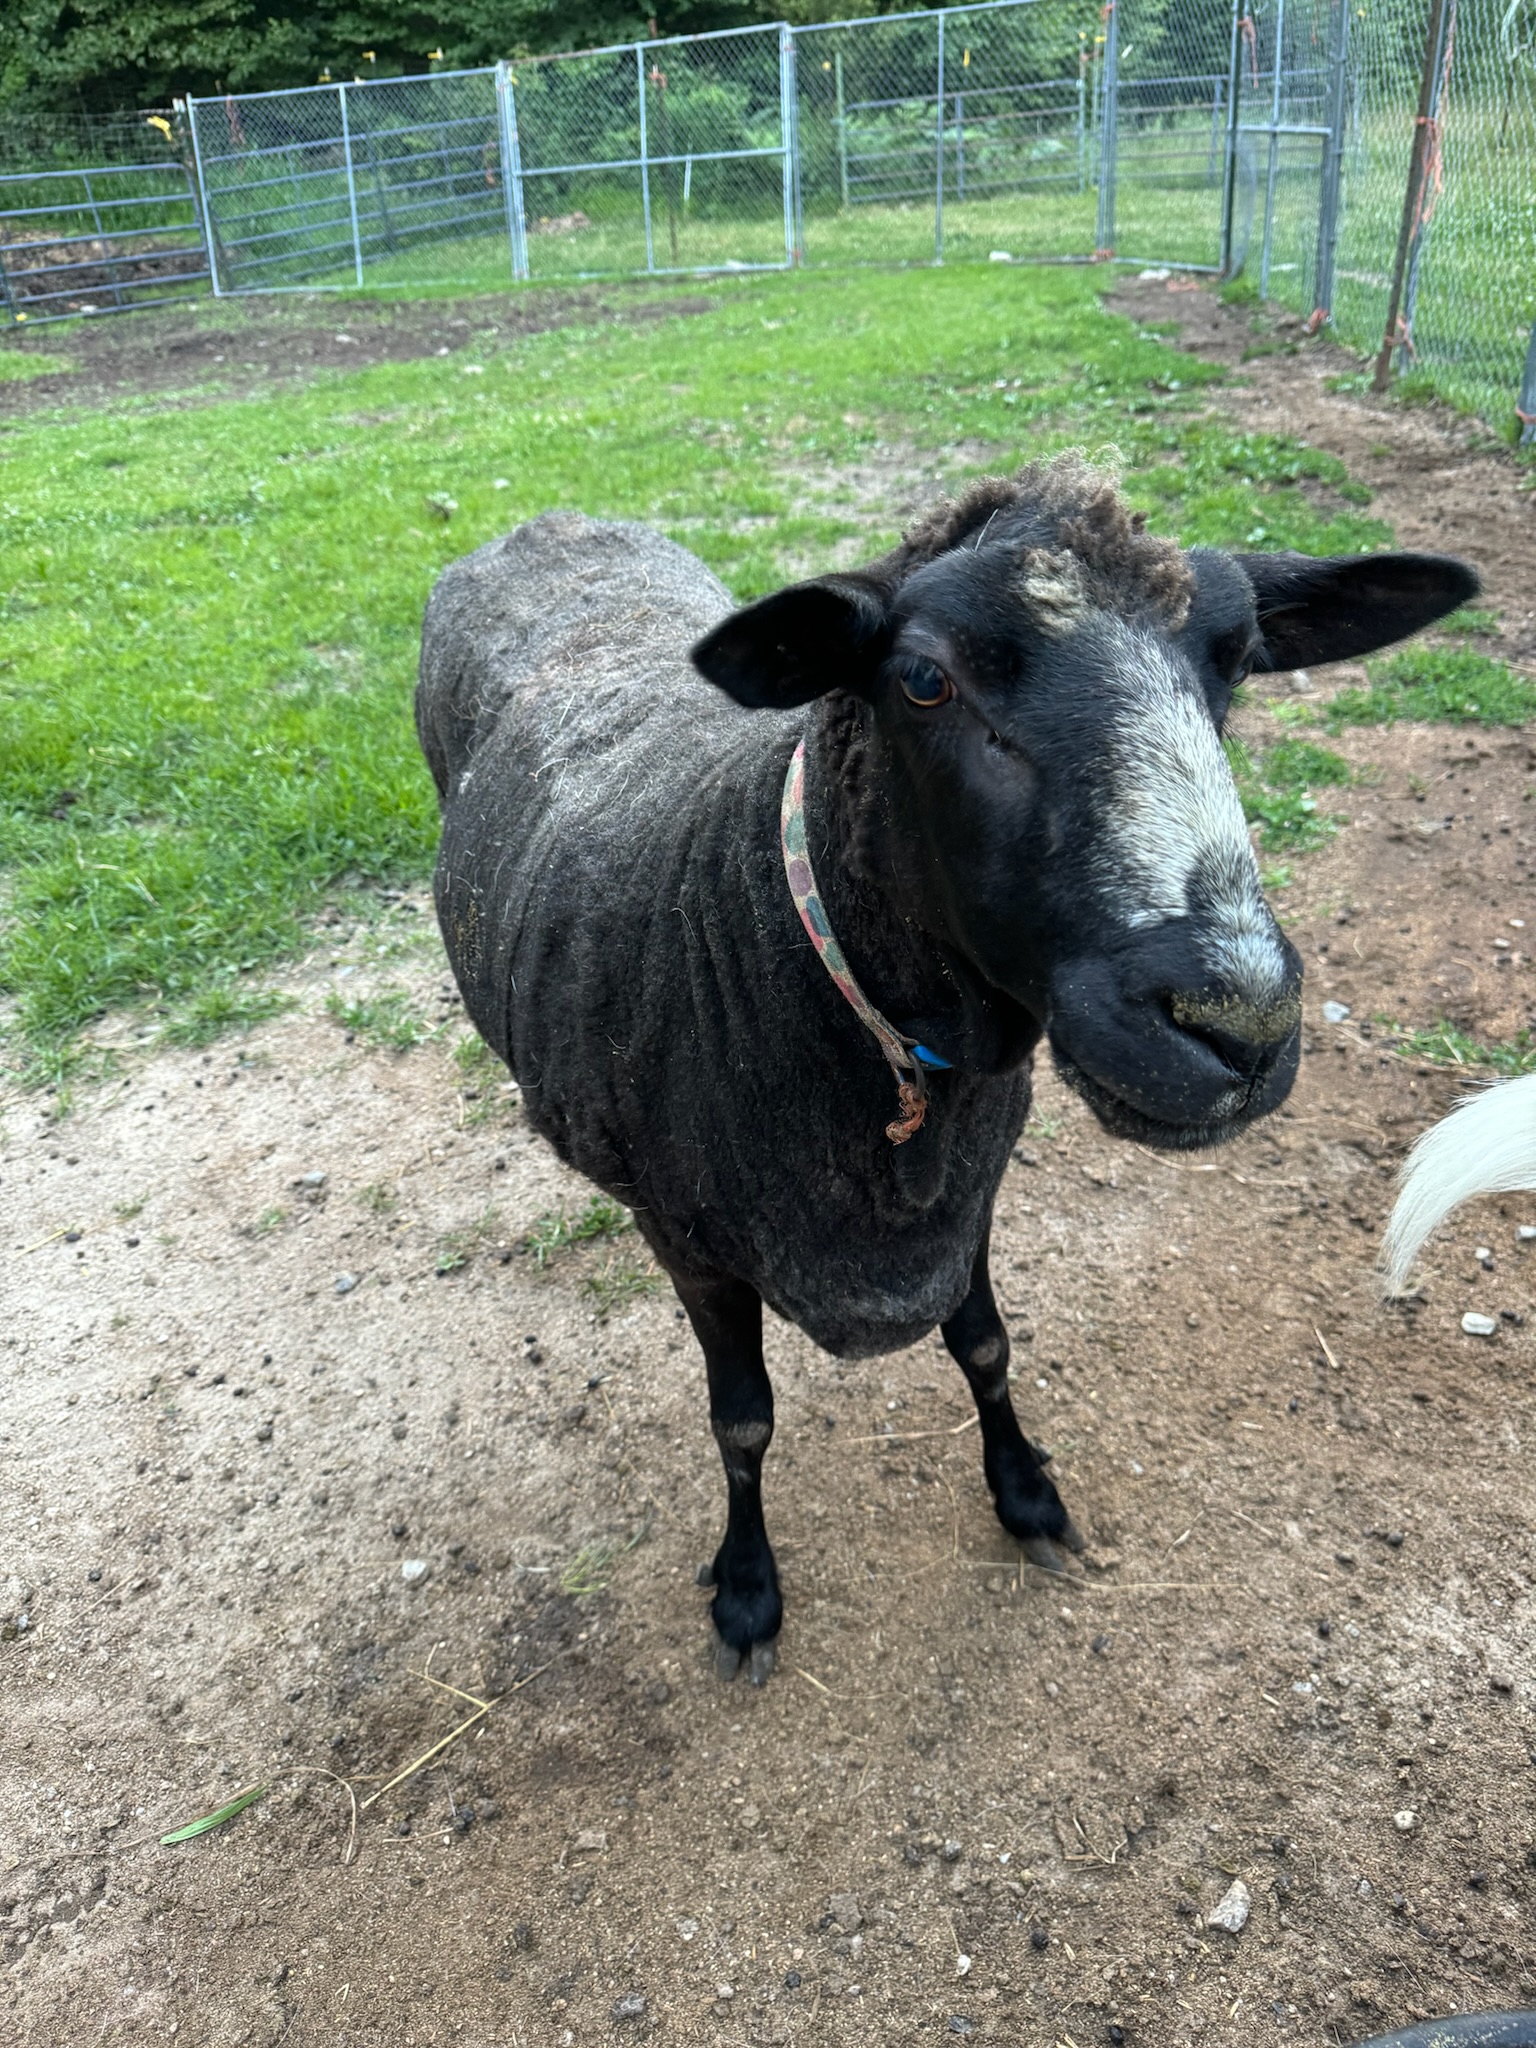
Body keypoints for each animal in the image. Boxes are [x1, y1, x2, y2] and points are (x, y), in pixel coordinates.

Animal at [417, 455, 1475, 1682]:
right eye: (924, 679)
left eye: (1240, 659)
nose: (1243, 1024)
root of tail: (546, 525)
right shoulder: (683, 1239)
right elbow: (743, 1419)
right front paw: (748, 1589)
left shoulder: (973, 1184)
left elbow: (984, 1343)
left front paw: (1026, 1494)